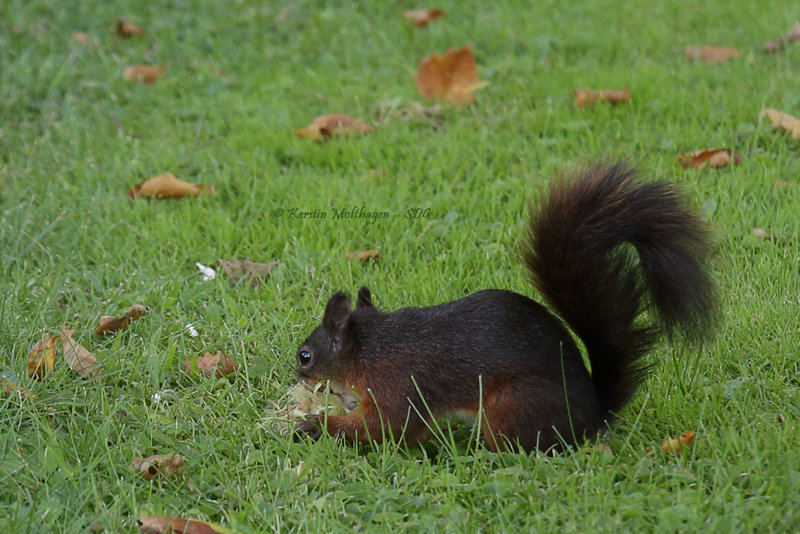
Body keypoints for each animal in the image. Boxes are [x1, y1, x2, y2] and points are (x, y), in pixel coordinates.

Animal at [290, 161, 716, 454]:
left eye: (305, 355)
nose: (297, 375)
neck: (372, 348)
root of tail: (593, 419)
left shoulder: (399, 384)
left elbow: (389, 427)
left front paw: (316, 425)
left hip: (510, 406)